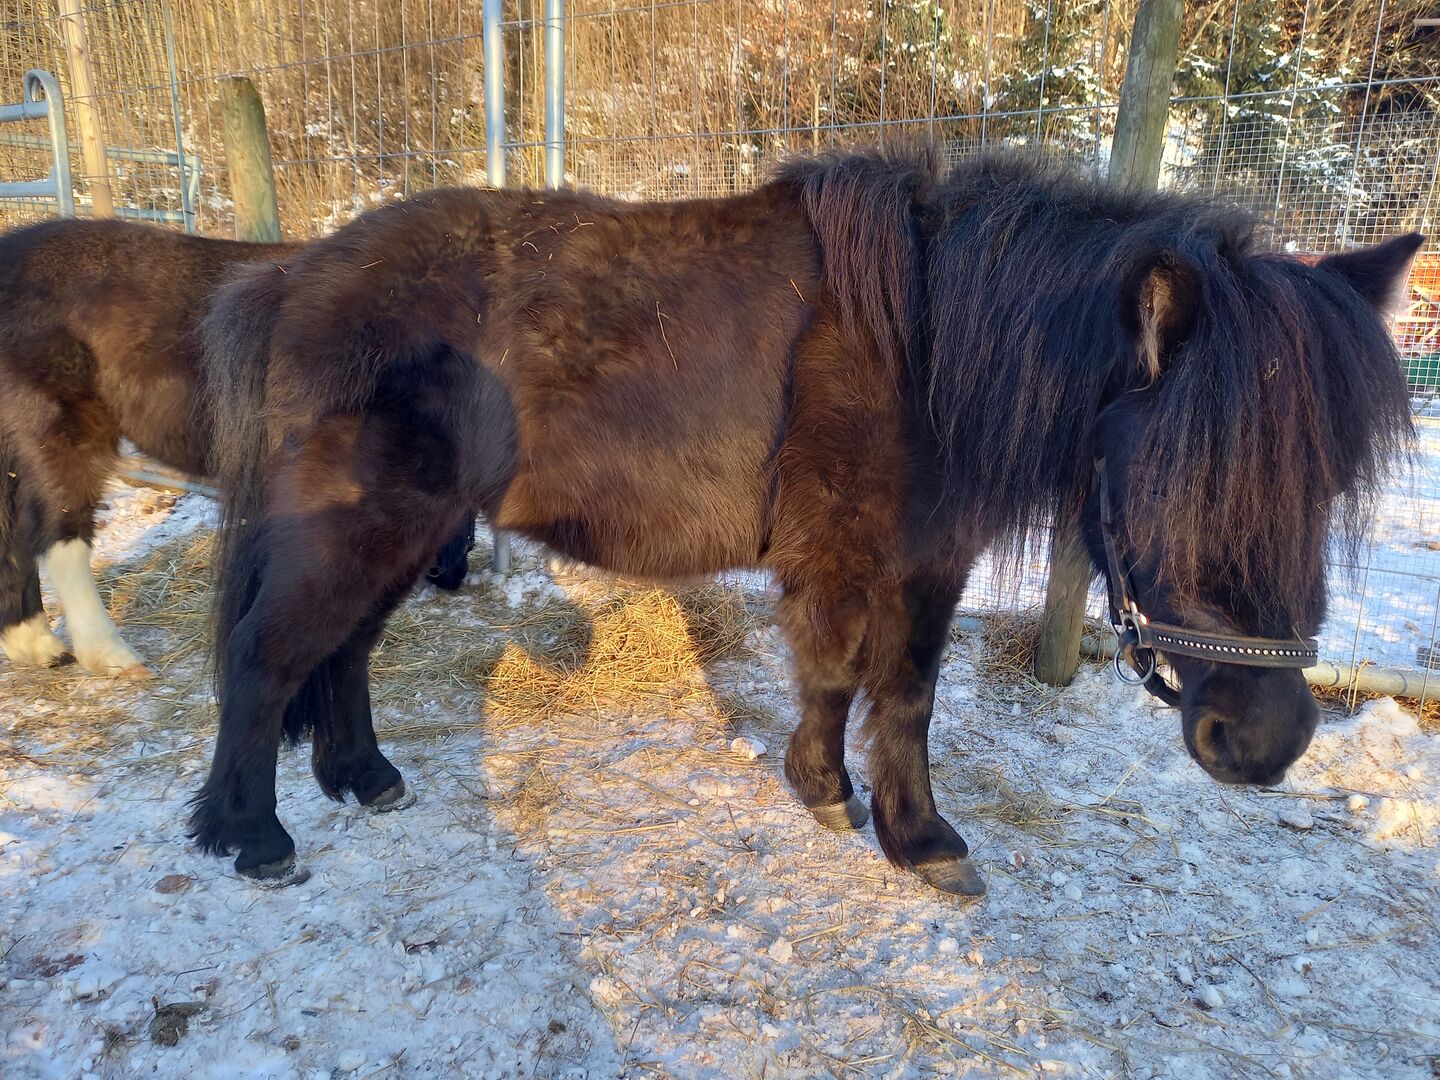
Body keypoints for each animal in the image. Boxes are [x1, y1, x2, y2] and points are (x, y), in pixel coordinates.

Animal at [189, 149, 1420, 897]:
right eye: (1184, 481)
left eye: (1326, 488)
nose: (1266, 744)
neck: (922, 347)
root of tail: (293, 279)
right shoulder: (839, 555)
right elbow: (835, 673)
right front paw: (835, 798)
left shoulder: (929, 564)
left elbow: (903, 695)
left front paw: (912, 834)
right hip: (361, 528)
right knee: (267, 658)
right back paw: (252, 836)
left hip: (399, 532)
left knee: (342, 652)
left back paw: (363, 777)